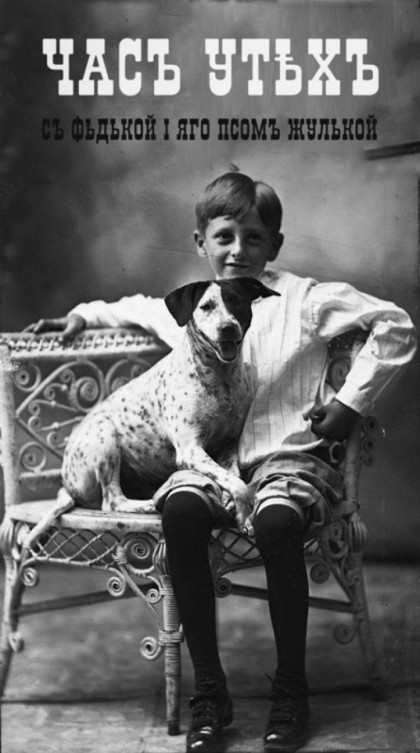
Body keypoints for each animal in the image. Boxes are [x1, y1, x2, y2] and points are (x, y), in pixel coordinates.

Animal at [30, 278, 280, 544]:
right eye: (206, 306)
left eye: (237, 302)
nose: (228, 328)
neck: (220, 380)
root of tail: (67, 485)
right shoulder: (190, 450)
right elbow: (238, 484)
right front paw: (244, 515)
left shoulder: (228, 446)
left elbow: (232, 476)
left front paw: (232, 504)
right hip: (104, 435)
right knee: (112, 501)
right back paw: (147, 505)